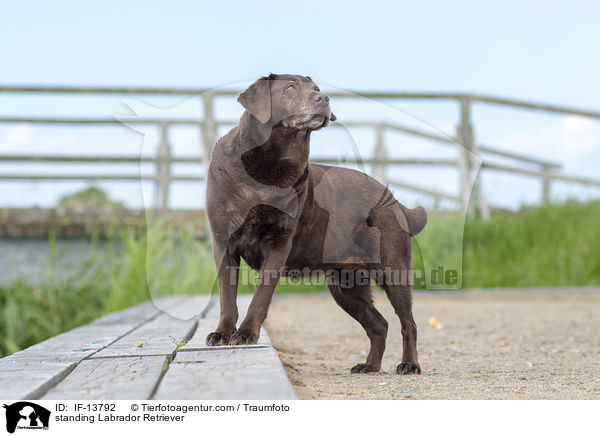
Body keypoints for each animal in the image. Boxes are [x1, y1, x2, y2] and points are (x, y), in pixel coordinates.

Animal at [206, 73, 426, 372]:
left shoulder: (279, 245)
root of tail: (391, 196)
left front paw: (246, 333)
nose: (324, 99)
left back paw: (409, 364)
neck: (267, 169)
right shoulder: (223, 244)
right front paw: (222, 333)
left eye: (317, 89)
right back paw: (369, 366)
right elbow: (227, 297)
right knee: (379, 325)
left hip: (393, 270)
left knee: (408, 322)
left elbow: (260, 296)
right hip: (345, 286)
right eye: (290, 87)